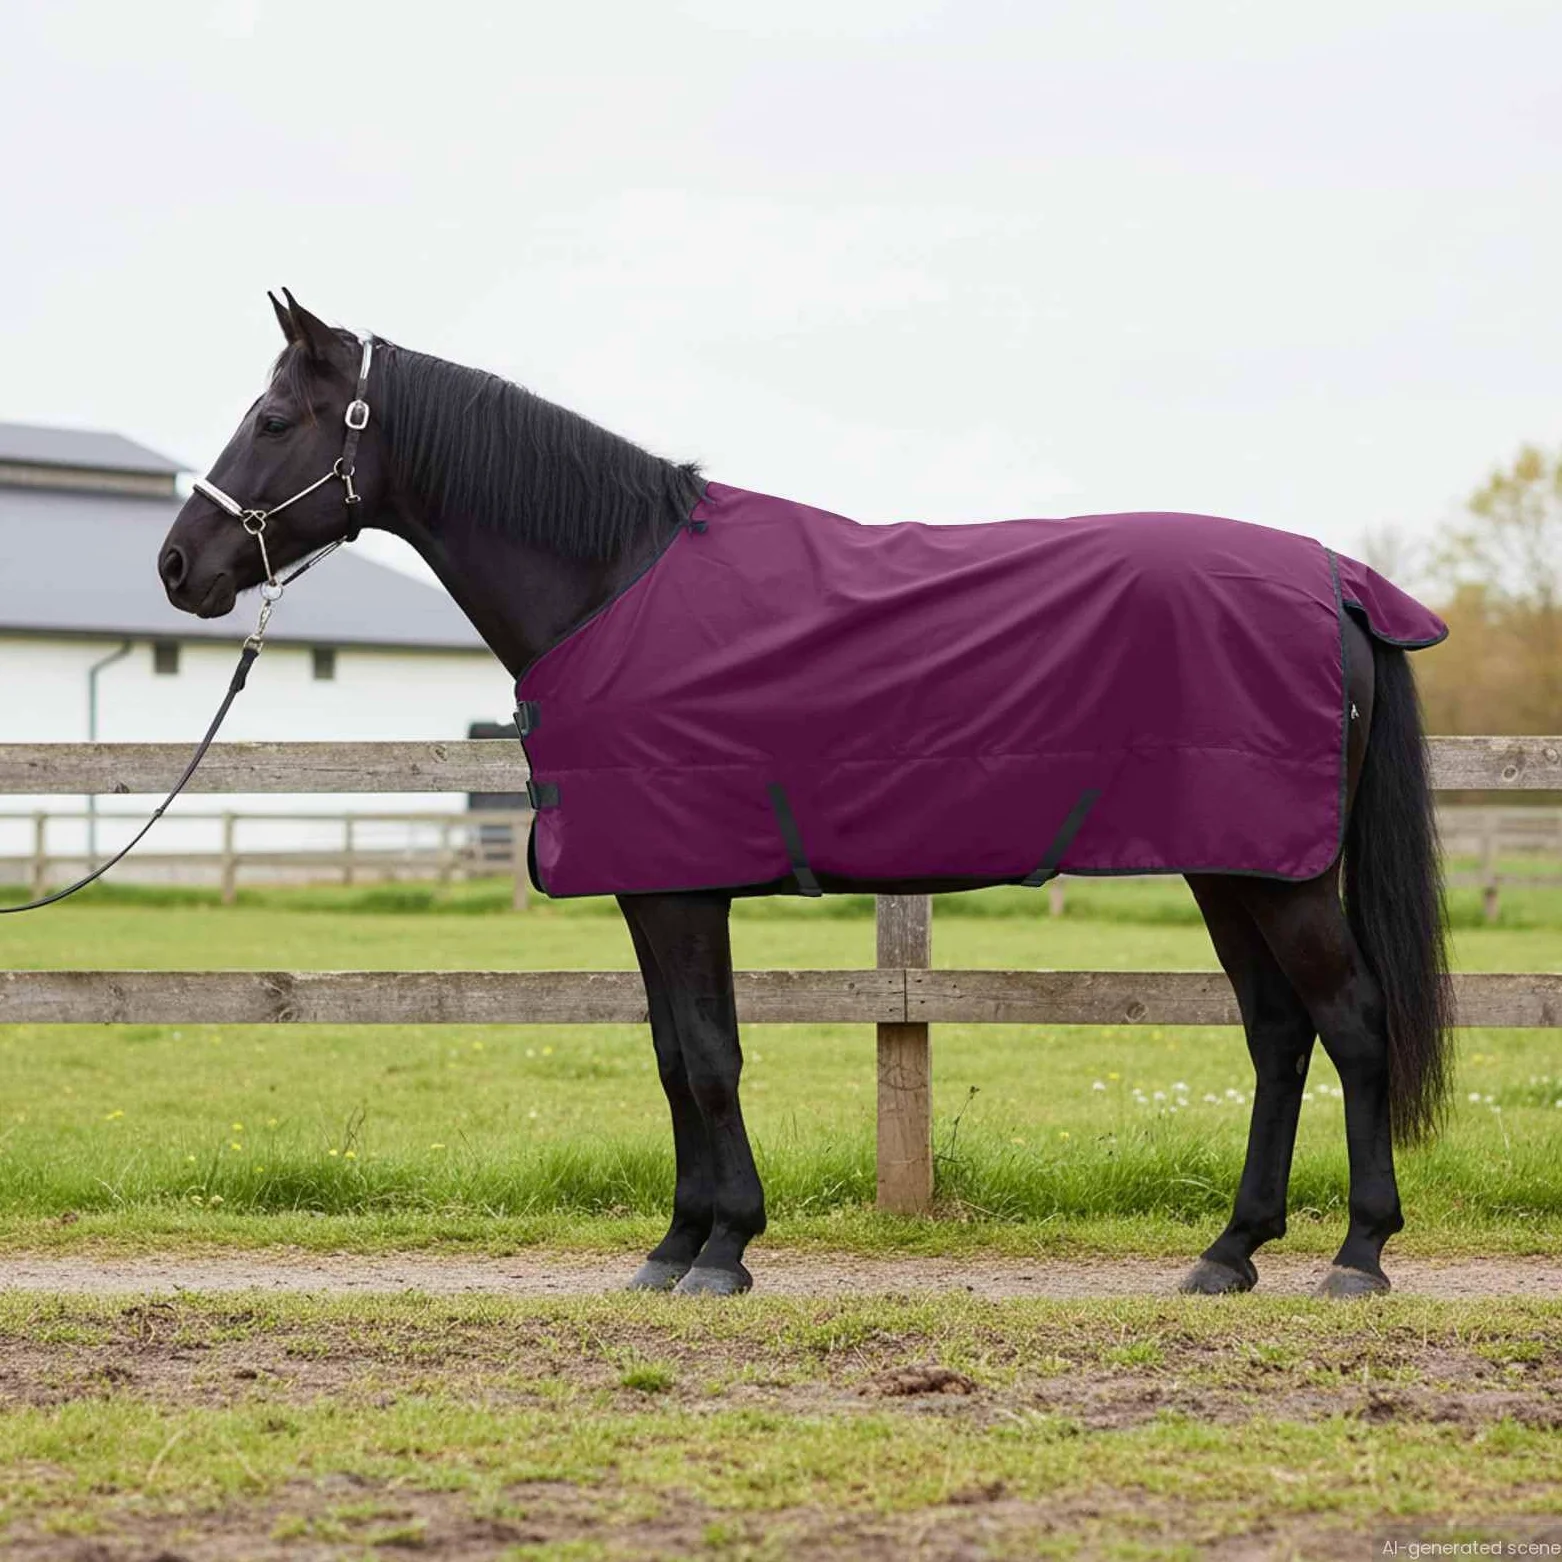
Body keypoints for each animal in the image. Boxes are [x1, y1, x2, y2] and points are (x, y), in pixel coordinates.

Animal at [157, 291, 1451, 1299]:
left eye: (272, 419)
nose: (178, 566)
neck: (610, 581)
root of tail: (1335, 582)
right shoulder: (652, 885)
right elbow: (673, 1054)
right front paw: (675, 1242)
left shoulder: (681, 887)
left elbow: (708, 1056)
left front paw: (722, 1246)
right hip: (1230, 866)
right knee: (1277, 1033)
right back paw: (1229, 1251)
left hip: (1275, 876)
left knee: (1351, 1022)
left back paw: (1356, 1253)